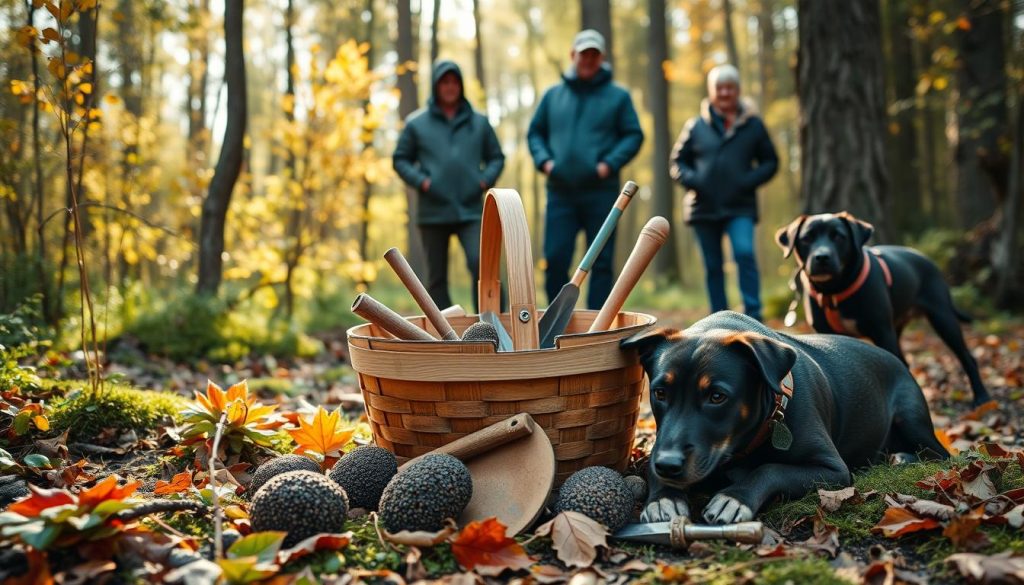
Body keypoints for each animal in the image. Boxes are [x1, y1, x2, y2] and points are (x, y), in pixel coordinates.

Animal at [622, 313, 950, 528]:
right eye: (660, 393)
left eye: (717, 396)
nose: (669, 465)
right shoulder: (658, 447)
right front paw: (664, 498)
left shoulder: (833, 470)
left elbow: (771, 468)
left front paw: (734, 498)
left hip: (912, 418)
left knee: (939, 453)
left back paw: (905, 457)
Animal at [774, 212, 991, 407]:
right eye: (807, 238)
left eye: (839, 236)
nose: (822, 257)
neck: (834, 290)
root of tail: (924, 257)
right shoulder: (826, 332)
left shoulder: (882, 332)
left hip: (942, 318)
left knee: (967, 358)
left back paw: (981, 397)